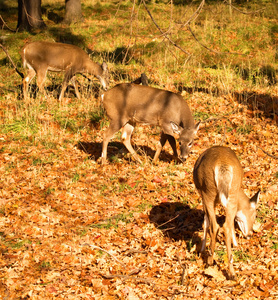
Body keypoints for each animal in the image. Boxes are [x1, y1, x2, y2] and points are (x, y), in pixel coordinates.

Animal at [192, 146, 260, 280]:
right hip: (229, 191)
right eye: (255, 215)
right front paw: (236, 244)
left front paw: (202, 249)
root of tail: (222, 165)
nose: (250, 234)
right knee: (225, 226)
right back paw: (231, 271)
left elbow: (206, 221)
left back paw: (211, 261)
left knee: (215, 225)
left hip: (208, 191)